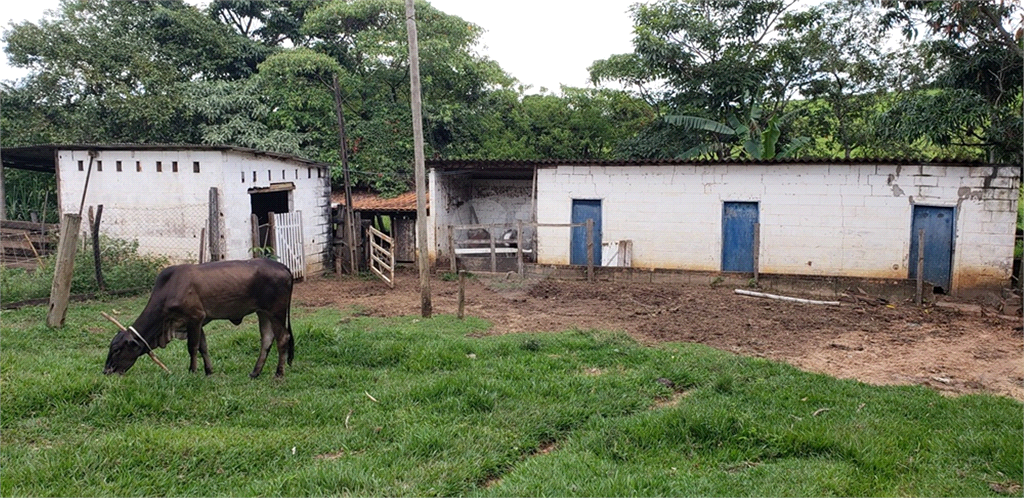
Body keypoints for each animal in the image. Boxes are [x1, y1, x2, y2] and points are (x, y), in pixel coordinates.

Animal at [103, 260, 294, 377]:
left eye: (116, 350)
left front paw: (193, 371)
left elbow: (192, 347)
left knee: (283, 338)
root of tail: (283, 266)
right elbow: (203, 347)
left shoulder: (194, 317)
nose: (106, 371)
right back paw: (255, 373)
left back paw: (279, 373)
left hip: (276, 311)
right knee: (267, 340)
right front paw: (209, 371)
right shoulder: (198, 322)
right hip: (263, 313)